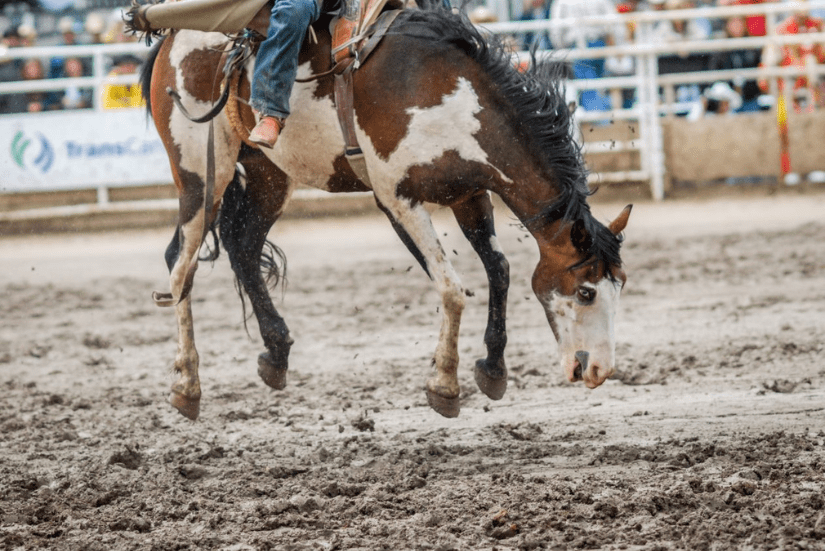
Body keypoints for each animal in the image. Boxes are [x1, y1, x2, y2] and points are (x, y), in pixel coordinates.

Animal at [140, 3, 632, 422]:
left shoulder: (469, 193)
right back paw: (187, 386)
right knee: (181, 267)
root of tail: (172, 38)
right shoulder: (395, 197)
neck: (447, 93)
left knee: (242, 247)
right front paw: (444, 385)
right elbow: (452, 288)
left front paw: (492, 369)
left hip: (268, 178)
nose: (598, 371)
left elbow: (500, 269)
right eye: (586, 291)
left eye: (620, 285)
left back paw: (276, 354)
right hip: (200, 174)